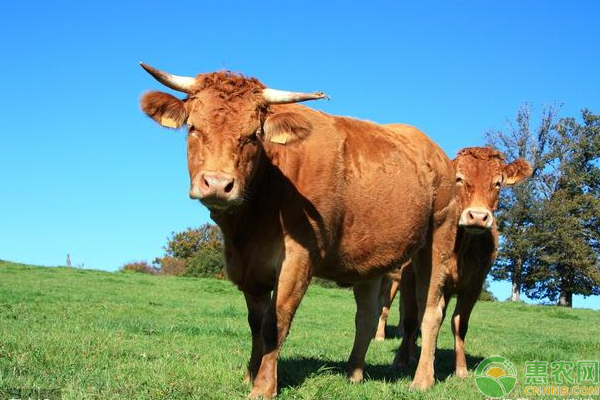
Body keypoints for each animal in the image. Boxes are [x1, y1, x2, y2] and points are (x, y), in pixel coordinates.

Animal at [141, 63, 458, 396]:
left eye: (253, 136)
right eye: (192, 128)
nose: (217, 184)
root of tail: (435, 150)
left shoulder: (299, 256)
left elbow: (274, 323)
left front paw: (263, 387)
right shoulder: (249, 267)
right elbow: (255, 323)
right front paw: (251, 373)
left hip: (439, 237)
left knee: (430, 311)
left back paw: (421, 380)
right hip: (371, 257)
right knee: (367, 316)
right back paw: (354, 374)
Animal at [392, 148, 532, 378]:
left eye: (498, 183)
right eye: (459, 178)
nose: (478, 216)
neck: (461, 248)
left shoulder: (475, 284)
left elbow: (459, 324)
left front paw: (461, 368)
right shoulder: (413, 276)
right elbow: (411, 320)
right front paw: (402, 361)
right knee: (414, 318)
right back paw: (410, 355)